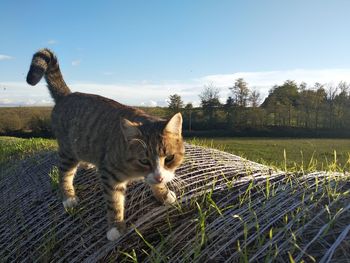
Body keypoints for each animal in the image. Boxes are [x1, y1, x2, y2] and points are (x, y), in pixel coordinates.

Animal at [26, 48, 185, 242]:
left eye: (169, 158)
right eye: (144, 161)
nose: (160, 178)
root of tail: (66, 95)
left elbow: (154, 182)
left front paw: (162, 193)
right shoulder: (110, 174)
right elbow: (114, 201)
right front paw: (116, 226)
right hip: (68, 151)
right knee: (64, 174)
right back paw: (68, 197)